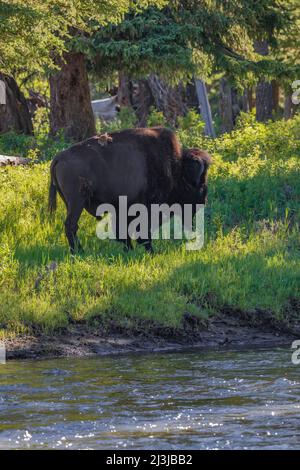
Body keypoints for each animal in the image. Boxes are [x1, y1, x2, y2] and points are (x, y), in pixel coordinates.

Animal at [48, 127, 211, 253]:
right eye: (199, 184)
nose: (203, 200)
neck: (174, 167)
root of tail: (59, 157)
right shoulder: (145, 208)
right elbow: (141, 232)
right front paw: (149, 251)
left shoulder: (120, 209)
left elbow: (123, 232)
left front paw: (129, 250)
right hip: (77, 201)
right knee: (71, 226)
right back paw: (78, 252)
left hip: (72, 203)